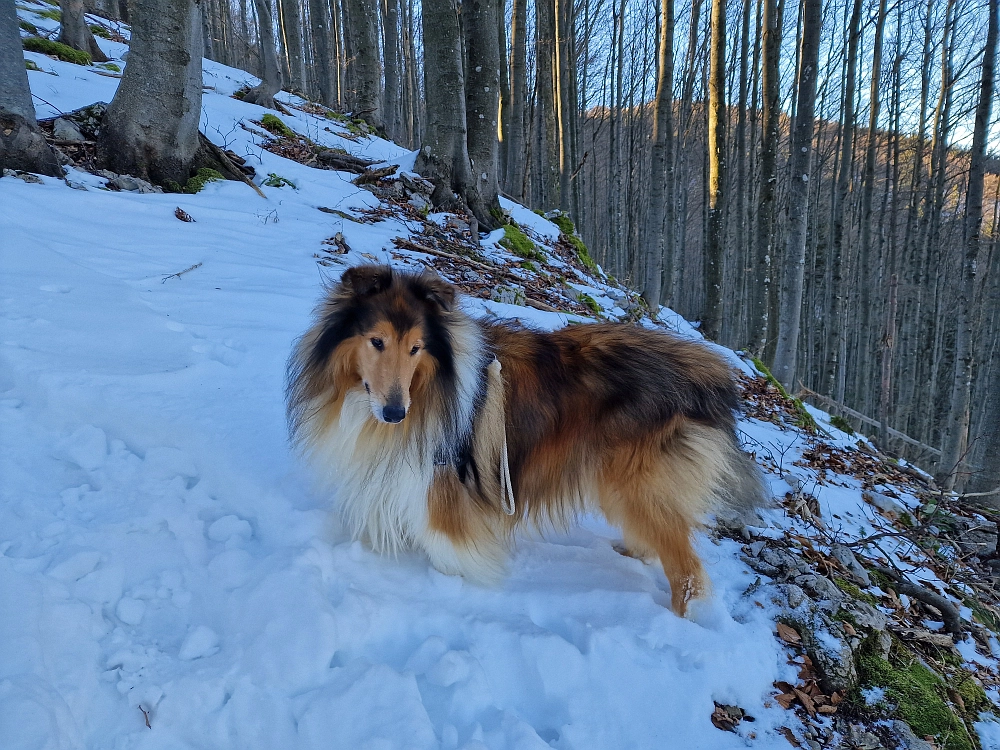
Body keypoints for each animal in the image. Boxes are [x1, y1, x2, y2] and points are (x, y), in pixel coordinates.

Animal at [290, 264, 764, 616]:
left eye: (416, 348)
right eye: (377, 341)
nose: (394, 413)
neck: (432, 383)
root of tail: (711, 374)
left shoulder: (445, 488)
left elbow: (450, 548)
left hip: (638, 486)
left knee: (687, 571)